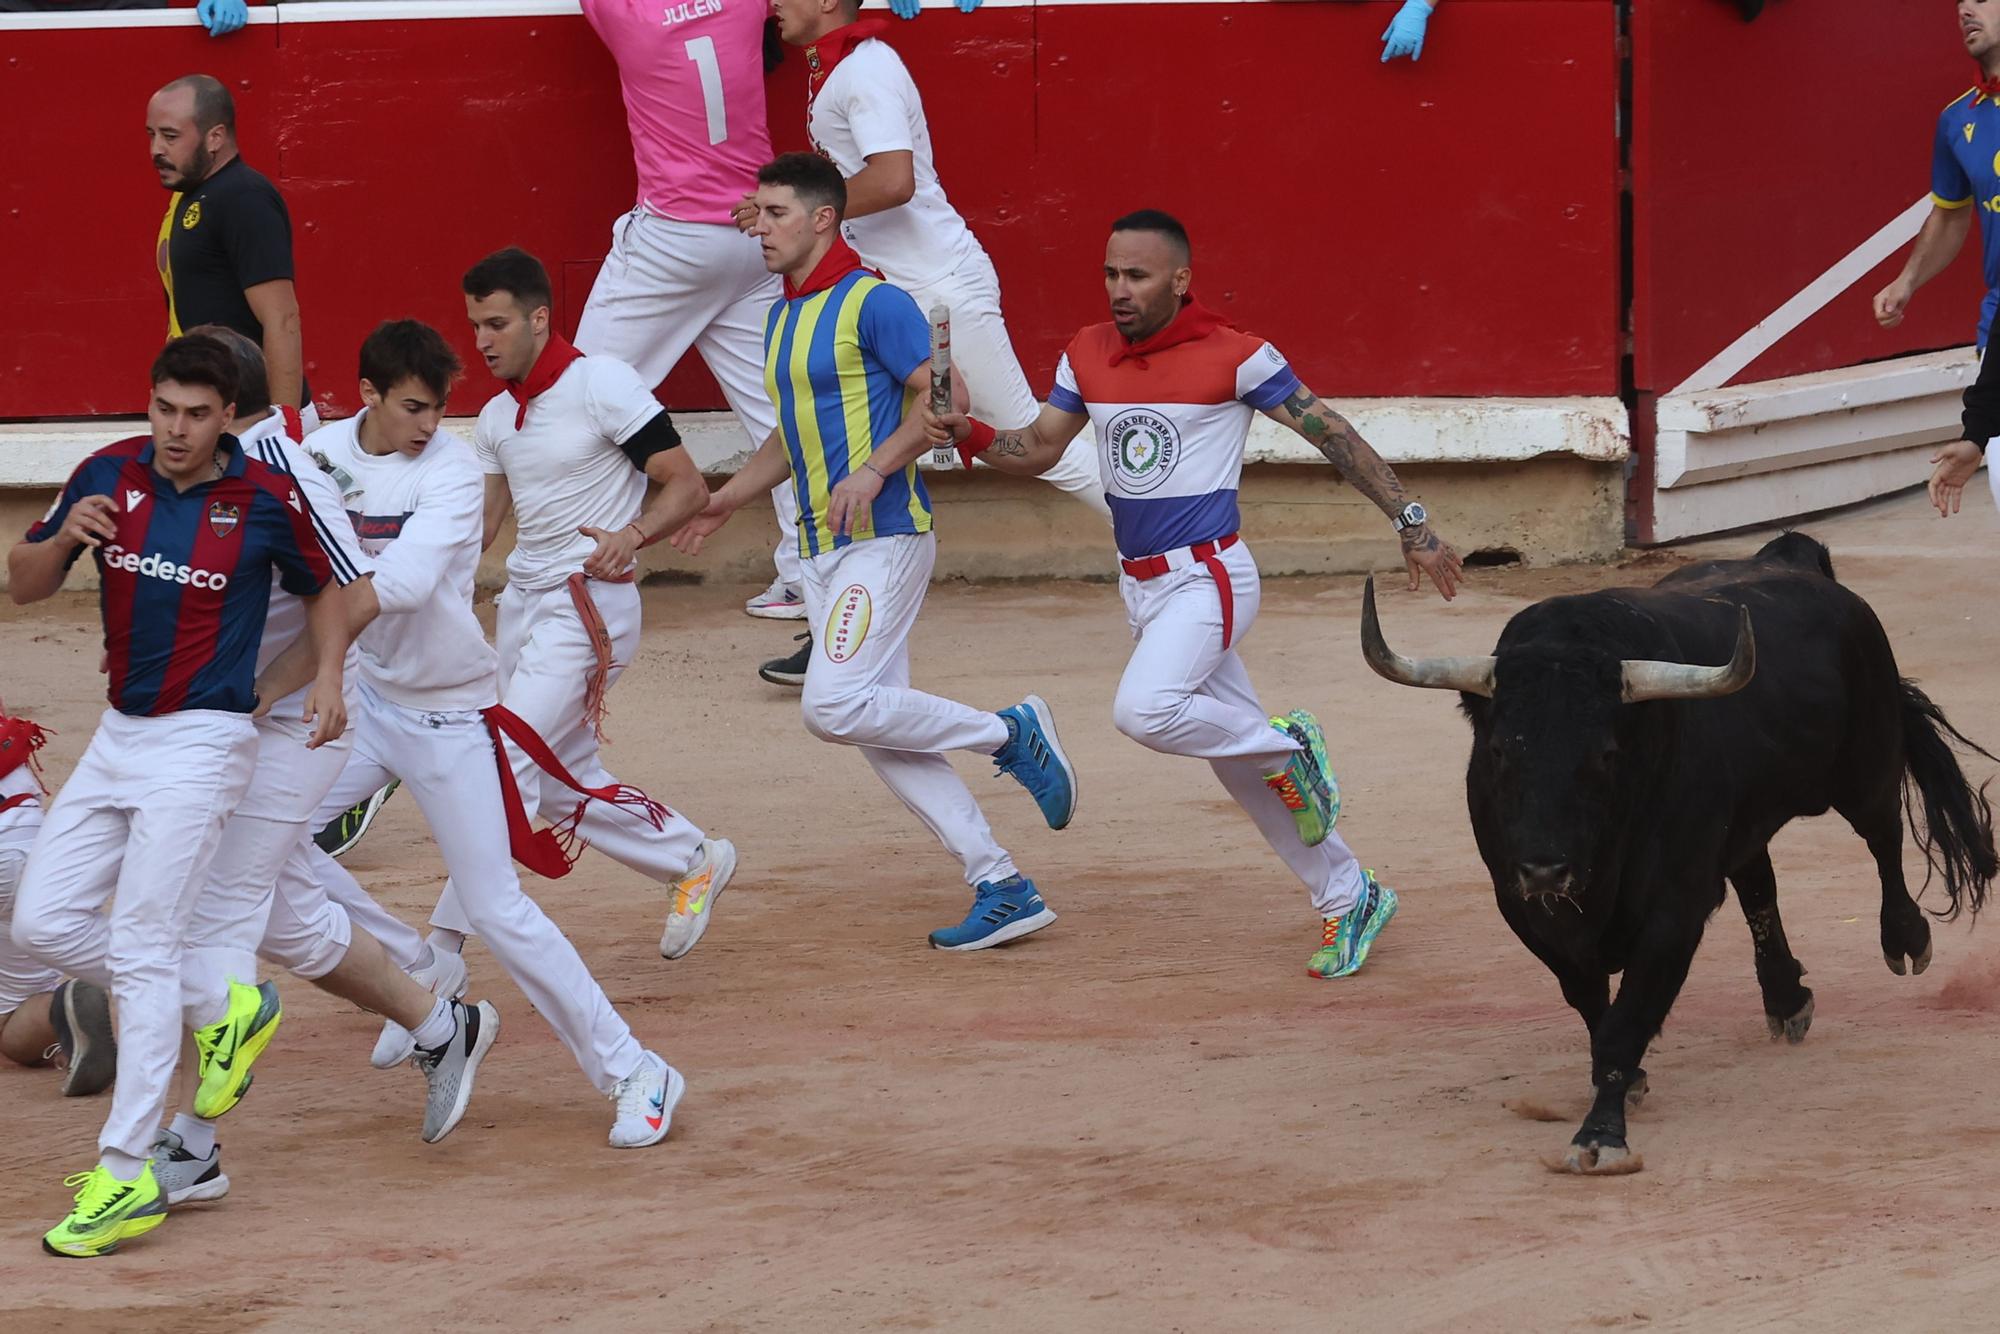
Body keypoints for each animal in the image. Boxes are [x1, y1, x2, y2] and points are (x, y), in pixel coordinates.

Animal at [1368, 536, 1992, 1176]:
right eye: (1498, 751)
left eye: (1606, 754)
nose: (1545, 868)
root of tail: (1793, 558)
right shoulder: (1525, 908)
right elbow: (1591, 1003)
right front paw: (1627, 1083)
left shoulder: (1675, 909)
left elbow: (1627, 1019)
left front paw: (1601, 1135)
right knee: (1758, 882)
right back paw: (1786, 999)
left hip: (1866, 762)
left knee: (1883, 837)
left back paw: (1906, 940)